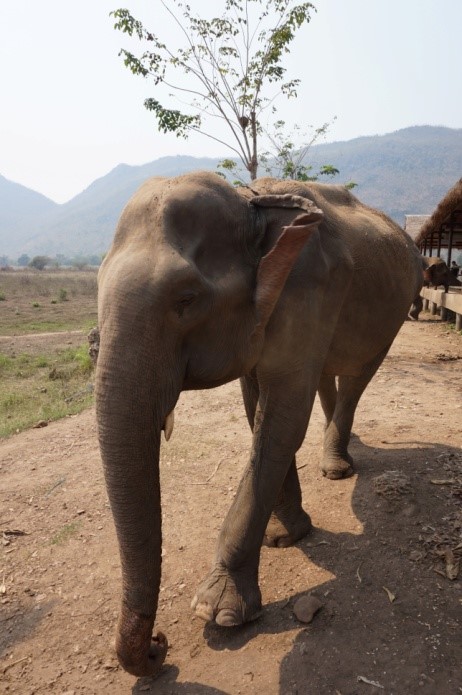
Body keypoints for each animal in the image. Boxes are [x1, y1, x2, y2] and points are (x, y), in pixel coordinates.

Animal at [95, 171, 424, 676]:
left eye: (186, 299)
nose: (158, 646)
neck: (250, 205)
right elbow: (260, 411)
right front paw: (284, 536)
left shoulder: (311, 288)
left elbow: (284, 414)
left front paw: (221, 612)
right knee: (329, 376)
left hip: (397, 310)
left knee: (357, 375)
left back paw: (337, 467)